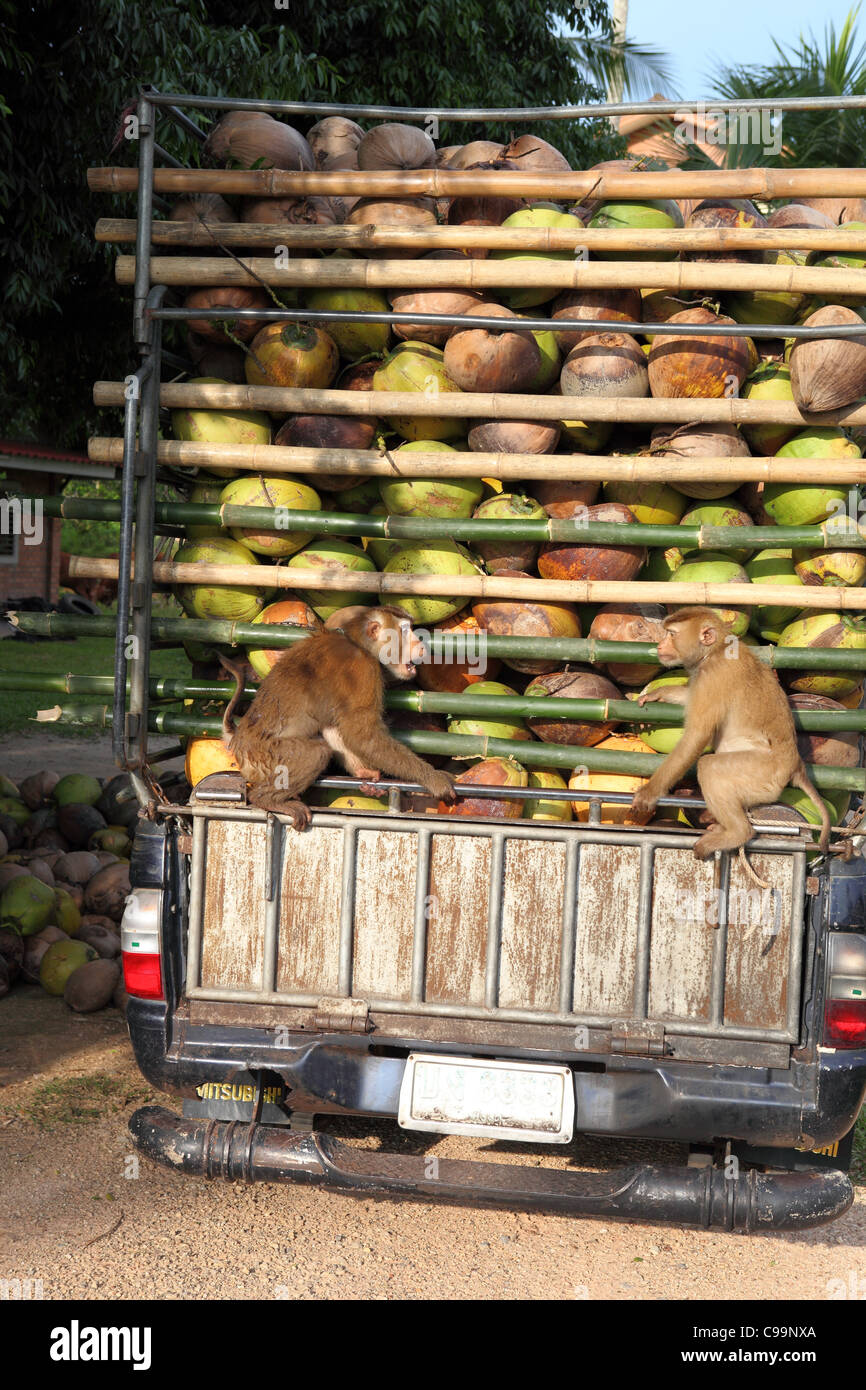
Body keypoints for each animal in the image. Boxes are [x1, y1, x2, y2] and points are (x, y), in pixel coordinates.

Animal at [219, 604, 456, 830]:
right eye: (405, 630)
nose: (422, 646)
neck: (356, 643)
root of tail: (237, 741)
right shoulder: (363, 670)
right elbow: (362, 735)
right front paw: (433, 779)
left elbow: (335, 726)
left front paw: (363, 773)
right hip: (265, 757)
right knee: (317, 752)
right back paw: (267, 799)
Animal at [629, 607, 831, 868]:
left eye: (671, 634)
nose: (660, 644)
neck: (714, 651)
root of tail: (796, 767)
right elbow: (689, 698)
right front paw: (658, 694)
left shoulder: (713, 676)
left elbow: (697, 735)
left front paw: (650, 793)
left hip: (762, 775)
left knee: (710, 768)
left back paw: (737, 833)